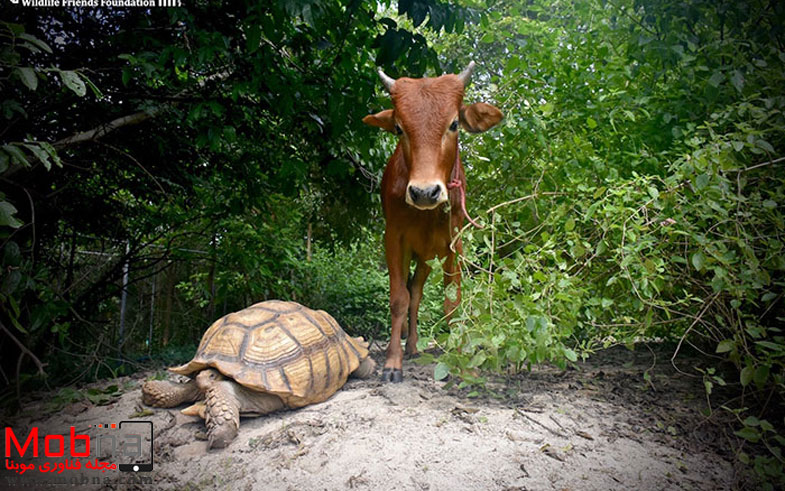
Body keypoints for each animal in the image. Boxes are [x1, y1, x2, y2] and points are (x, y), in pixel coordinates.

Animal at [363, 61, 503, 382]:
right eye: (399, 128)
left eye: (453, 124)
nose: (425, 192)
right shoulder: (394, 238)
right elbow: (398, 299)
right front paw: (393, 362)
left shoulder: (455, 242)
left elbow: (452, 303)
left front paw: (460, 359)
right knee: (411, 294)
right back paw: (409, 345)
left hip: (428, 258)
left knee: (417, 292)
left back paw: (414, 346)